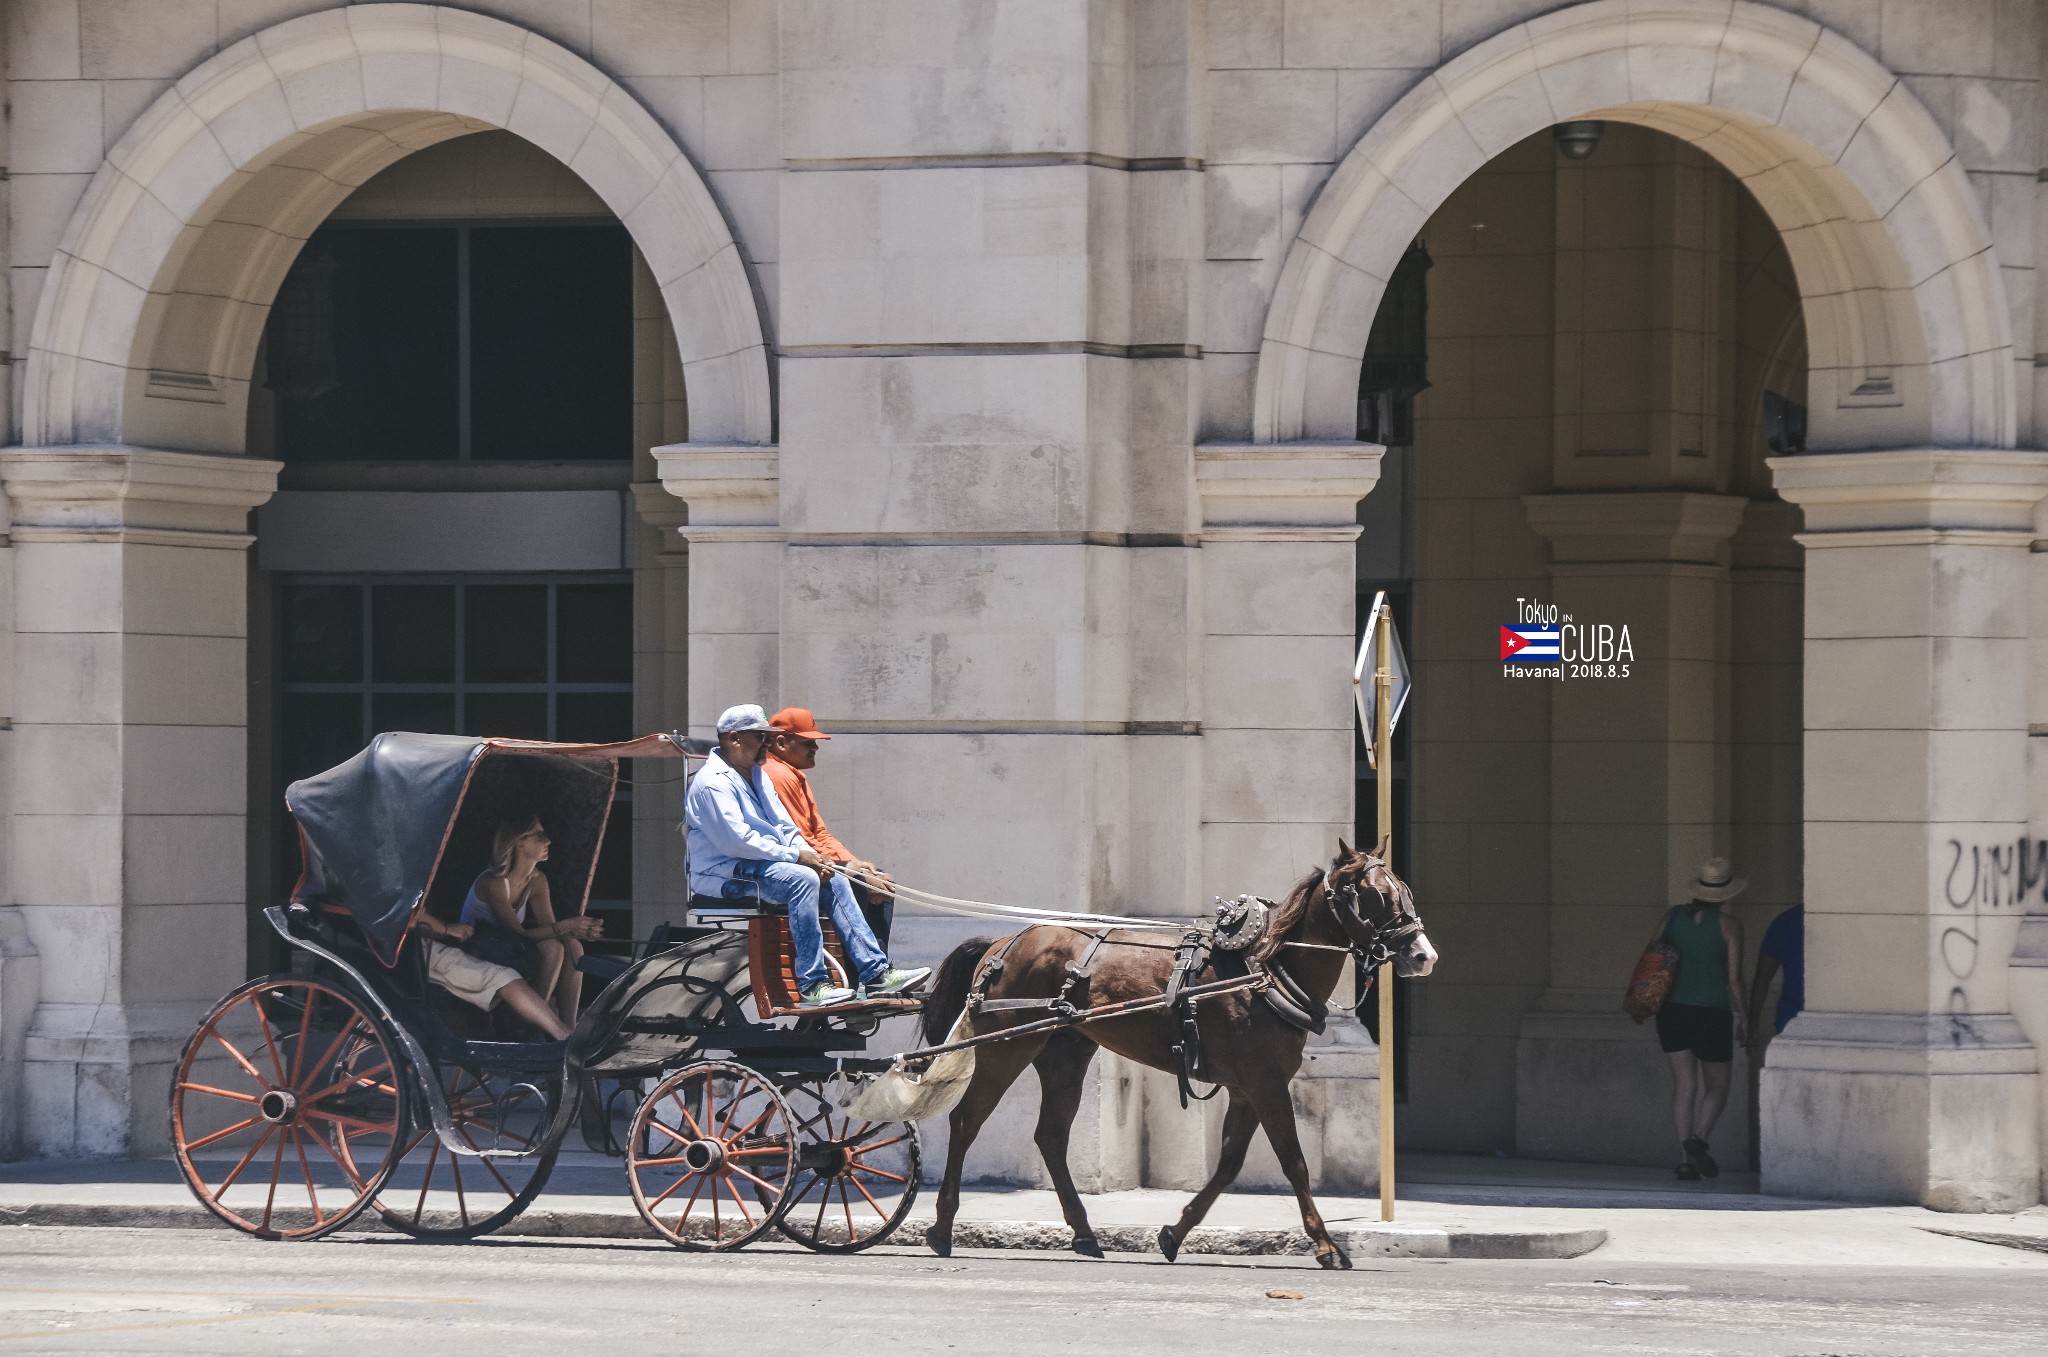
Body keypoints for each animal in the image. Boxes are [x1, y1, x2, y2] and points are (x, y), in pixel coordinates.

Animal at [921, 843, 1433, 1268]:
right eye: (1373, 895)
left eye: (1403, 891)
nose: (1423, 955)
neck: (1265, 970)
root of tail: (1002, 943)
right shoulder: (1265, 1084)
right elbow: (1294, 1161)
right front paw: (1325, 1245)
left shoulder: (1249, 1090)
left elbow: (1228, 1166)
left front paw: (1174, 1232)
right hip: (1005, 1049)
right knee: (966, 1122)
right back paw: (942, 1227)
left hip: (1064, 1057)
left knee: (1050, 1137)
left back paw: (1084, 1233)